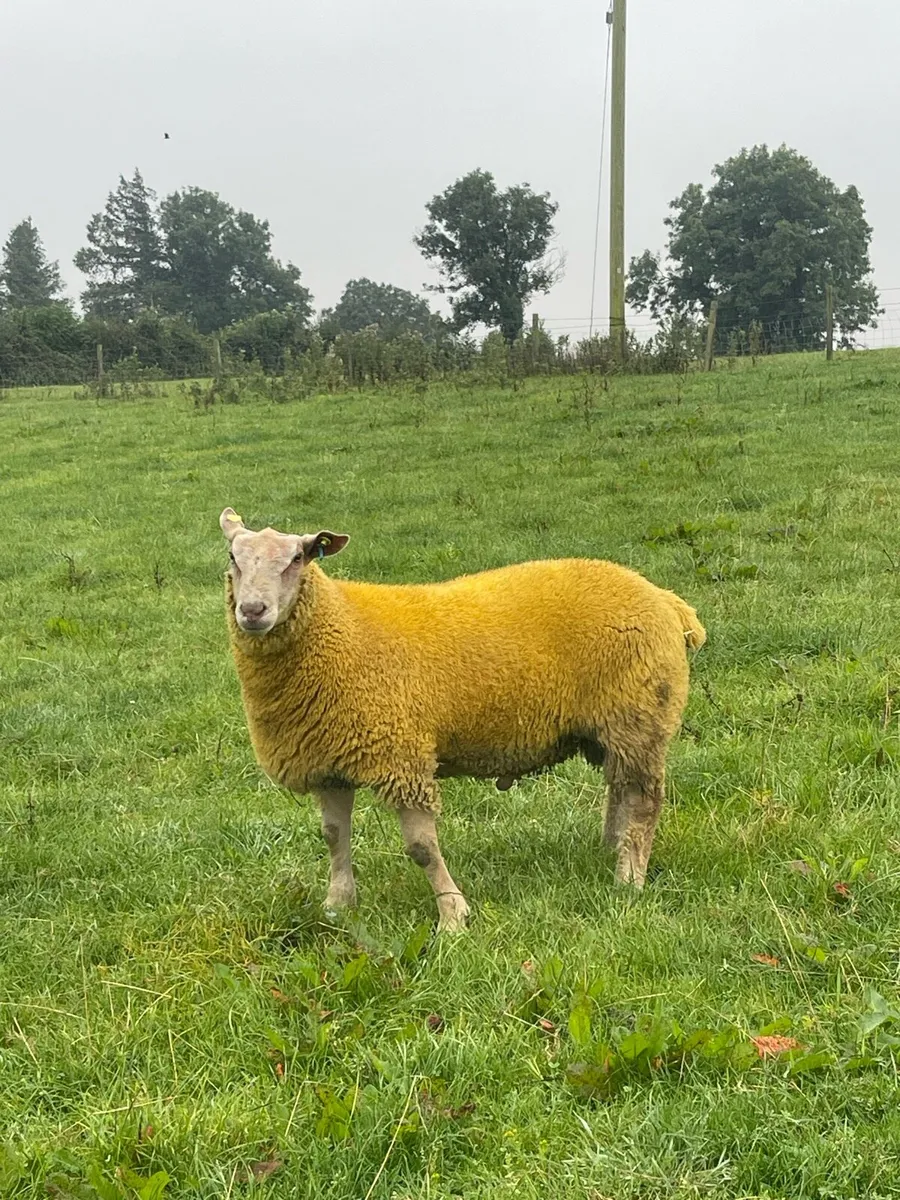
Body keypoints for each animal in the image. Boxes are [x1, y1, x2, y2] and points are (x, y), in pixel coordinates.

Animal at [218, 507, 706, 932]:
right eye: (232, 557)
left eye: (298, 557)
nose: (253, 611)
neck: (338, 629)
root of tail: (666, 600)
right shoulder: (329, 763)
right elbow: (334, 836)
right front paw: (338, 906)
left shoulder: (403, 757)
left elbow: (421, 849)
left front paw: (452, 915)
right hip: (611, 726)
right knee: (619, 791)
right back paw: (609, 851)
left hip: (638, 715)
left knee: (643, 801)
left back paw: (628, 878)